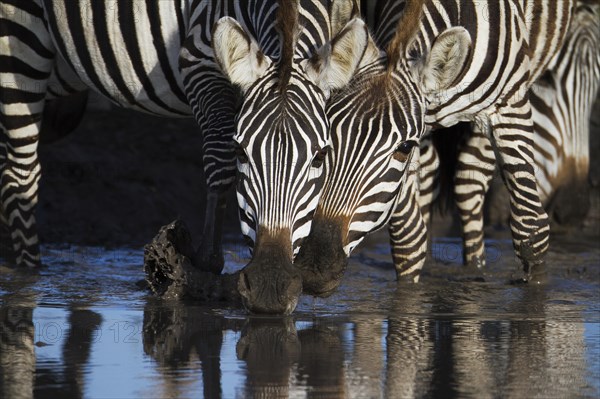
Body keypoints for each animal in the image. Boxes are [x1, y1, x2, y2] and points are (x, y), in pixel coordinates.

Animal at [0, 0, 368, 316]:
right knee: (21, 175)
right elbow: (219, 163)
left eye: (320, 156)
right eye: (241, 151)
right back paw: (29, 276)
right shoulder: (199, 62)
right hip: (19, 37)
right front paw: (202, 274)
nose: (270, 289)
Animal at [292, 0, 576, 296]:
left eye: (404, 147)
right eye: (326, 143)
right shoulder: (421, 123)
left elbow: (530, 228)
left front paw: (537, 293)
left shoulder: (510, 103)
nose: (314, 270)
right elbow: (408, 240)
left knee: (471, 180)